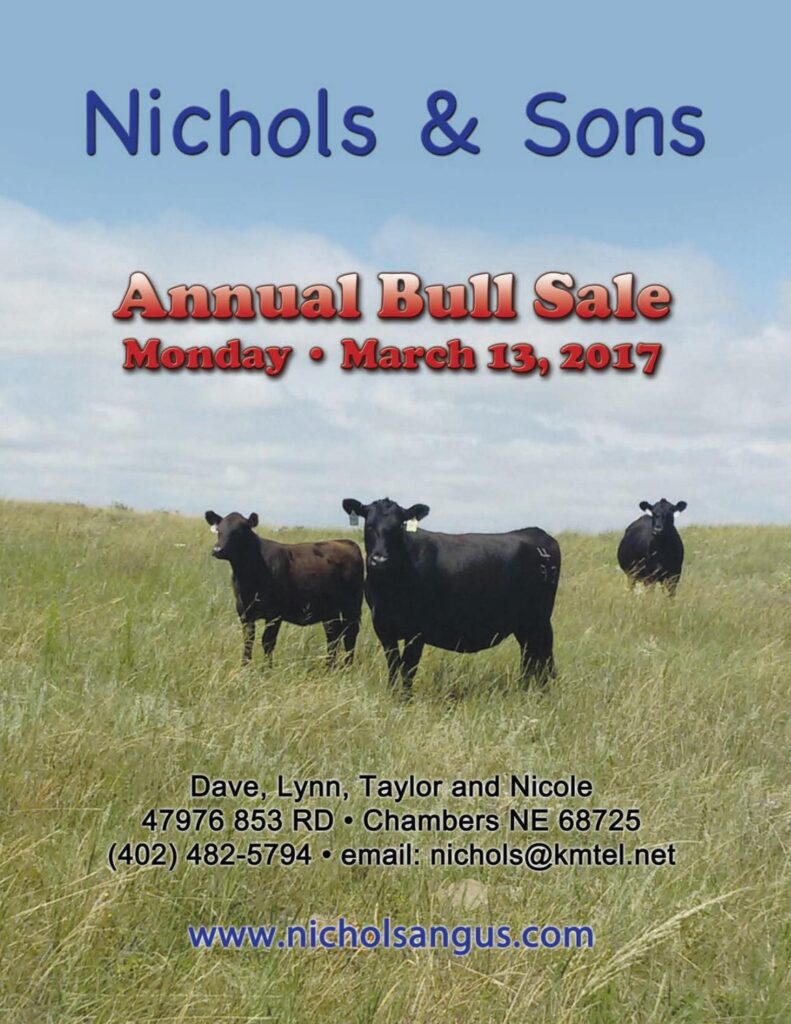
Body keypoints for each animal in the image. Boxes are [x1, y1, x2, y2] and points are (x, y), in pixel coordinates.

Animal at [204, 510, 363, 666]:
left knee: (350, 633)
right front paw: (245, 668)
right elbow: (248, 640)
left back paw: (347, 667)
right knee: (334, 635)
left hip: (352, 605)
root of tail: (346, 542)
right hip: (330, 610)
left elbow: (268, 642)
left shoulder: (274, 613)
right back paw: (330, 667)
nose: (217, 549)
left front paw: (267, 670)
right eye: (219, 530)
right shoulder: (244, 612)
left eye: (239, 531)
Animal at [341, 497, 560, 694]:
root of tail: (536, 533)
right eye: (369, 525)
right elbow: (394, 666)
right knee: (532, 659)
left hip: (537, 622)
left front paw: (404, 700)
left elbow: (408, 668)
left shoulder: (417, 630)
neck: (388, 588)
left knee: (541, 658)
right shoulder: (383, 626)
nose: (379, 560)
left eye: (398, 527)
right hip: (526, 625)